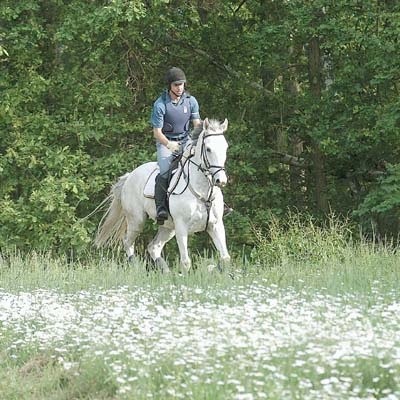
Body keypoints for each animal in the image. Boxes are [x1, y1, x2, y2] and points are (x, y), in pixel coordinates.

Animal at [94, 118, 231, 272]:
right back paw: (137, 268)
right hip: (137, 221)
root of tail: (130, 176)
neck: (202, 191)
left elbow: (225, 258)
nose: (221, 180)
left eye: (225, 147)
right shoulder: (181, 227)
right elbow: (185, 262)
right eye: (208, 149)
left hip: (168, 227)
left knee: (153, 247)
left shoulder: (215, 225)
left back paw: (166, 272)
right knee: (128, 243)